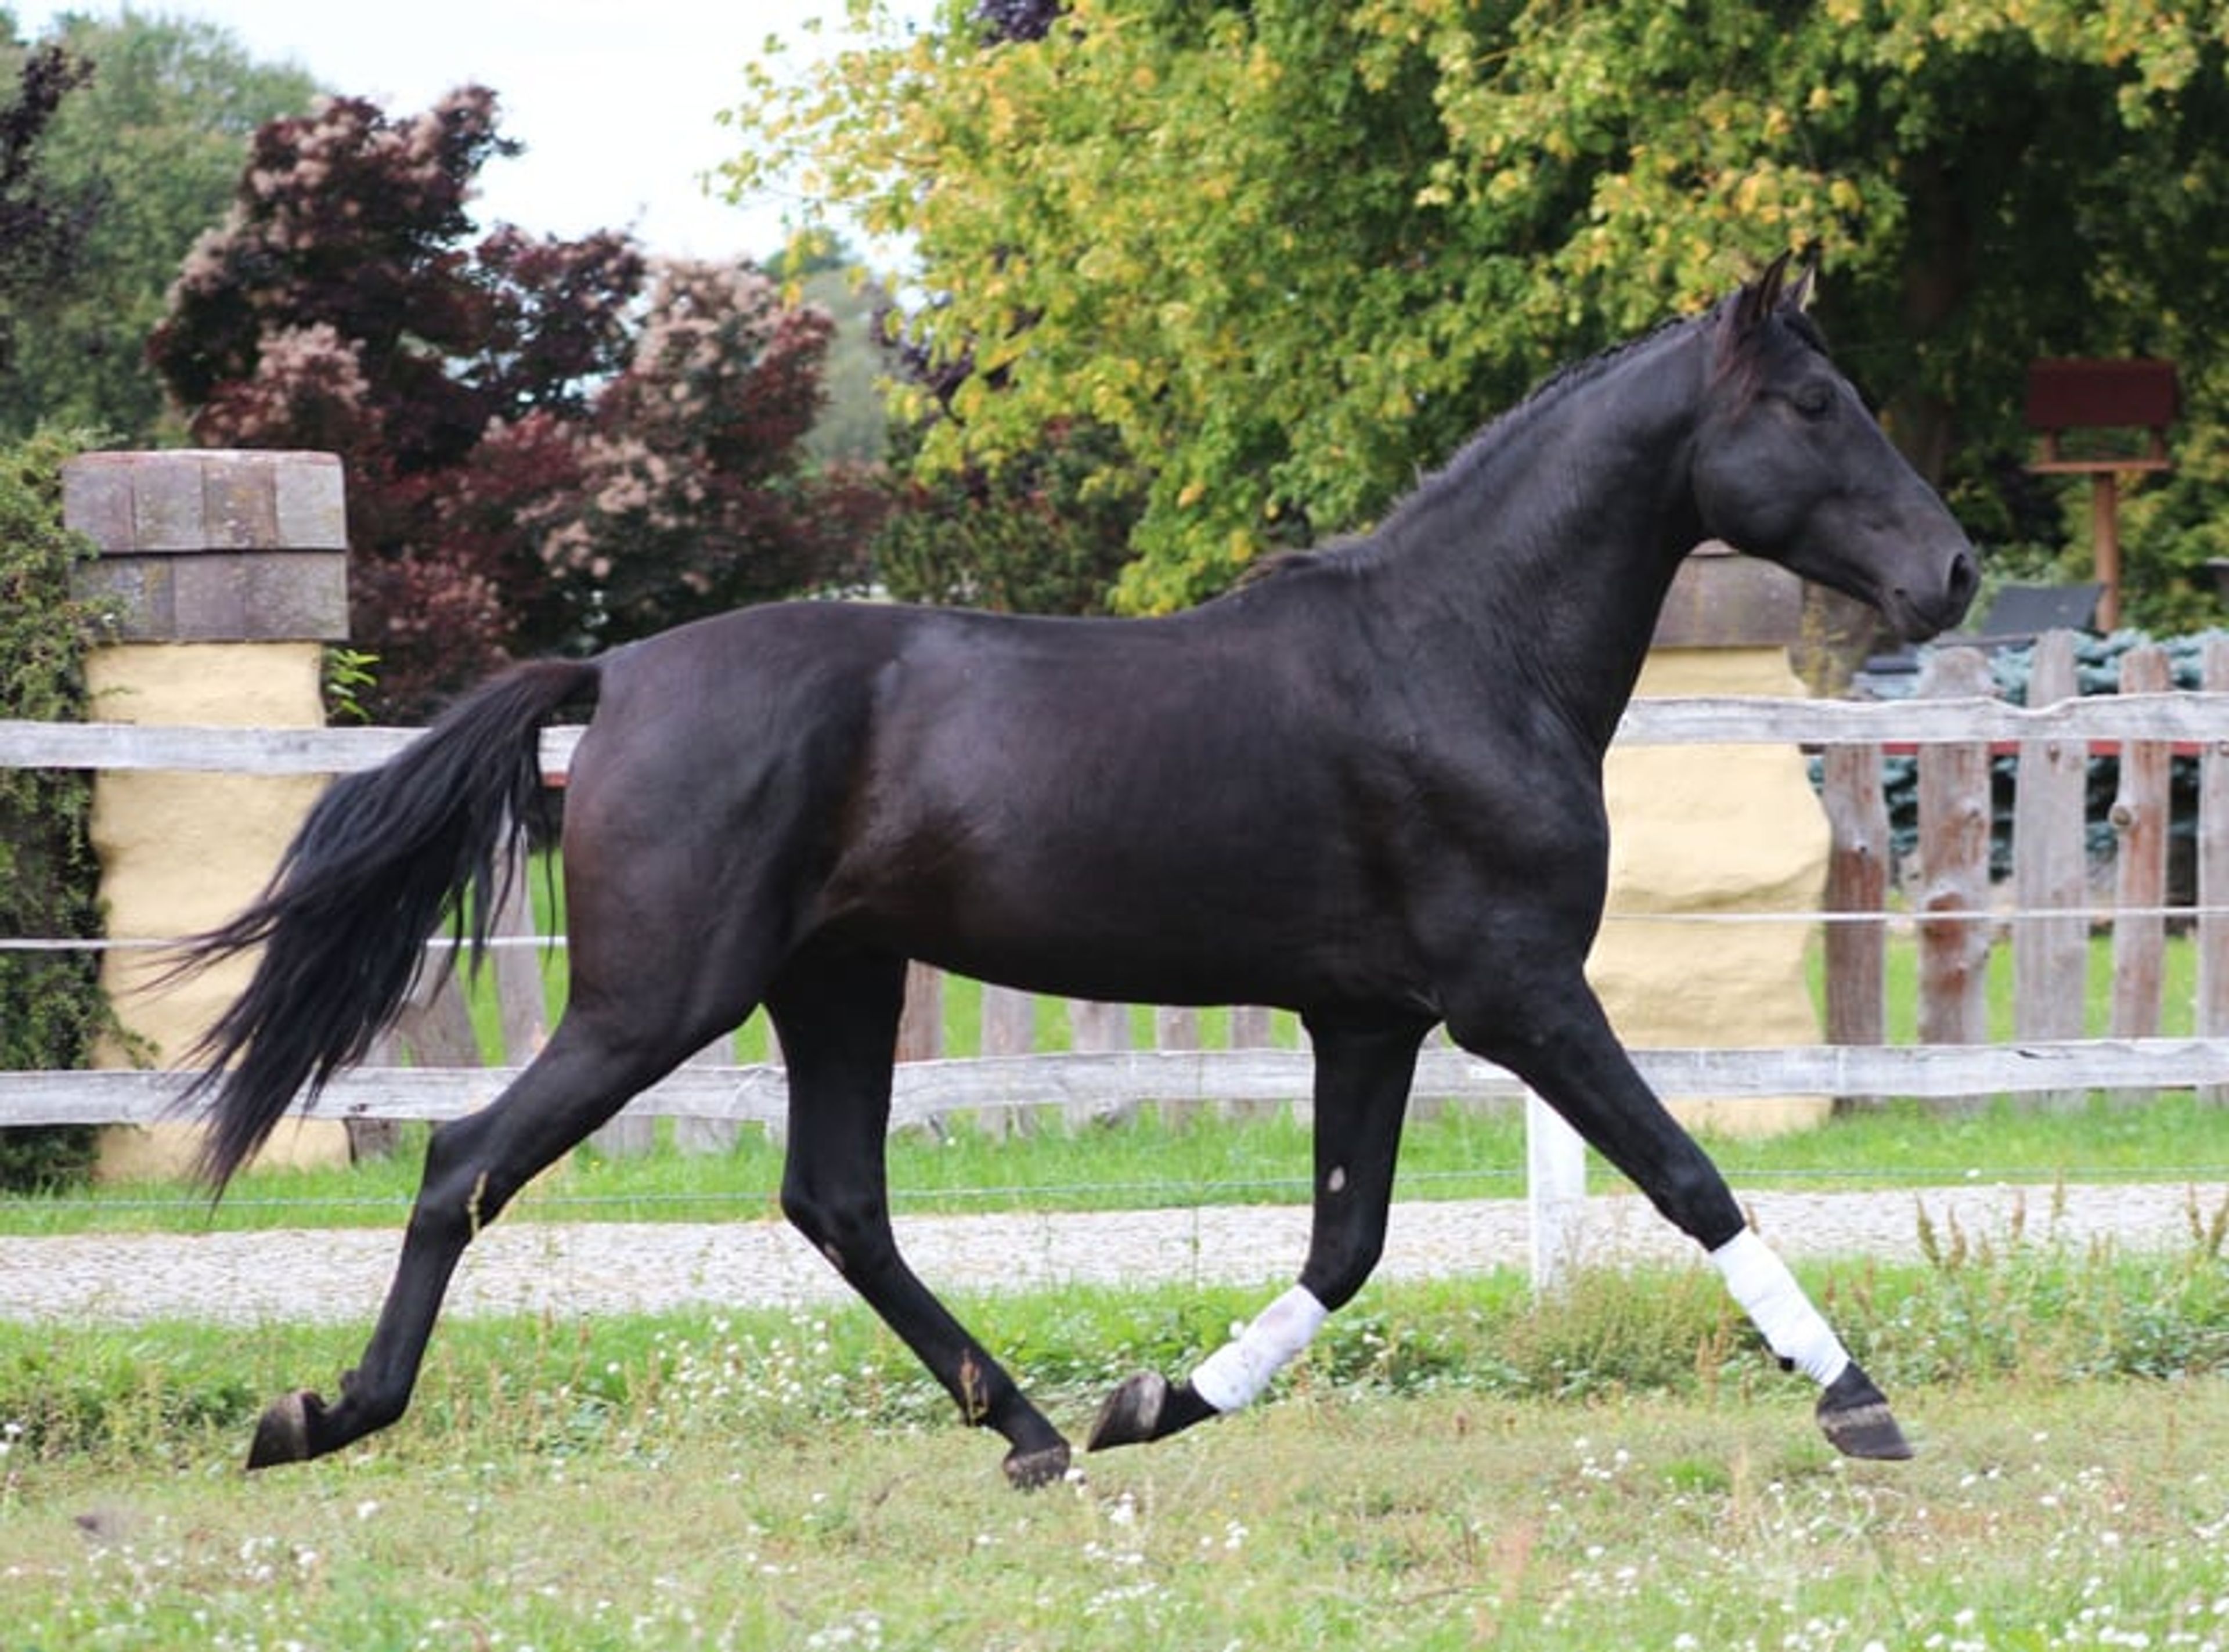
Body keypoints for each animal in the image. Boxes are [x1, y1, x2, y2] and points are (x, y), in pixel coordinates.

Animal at [178, 256, 1977, 1488]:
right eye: (1809, 406)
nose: (1953, 570)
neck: (1459, 653)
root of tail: (616, 677)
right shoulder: (1520, 996)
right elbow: (1688, 1176)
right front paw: (1858, 1397)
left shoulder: (1371, 1019)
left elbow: (1347, 1241)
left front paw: (1154, 1401)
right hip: (656, 999)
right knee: (467, 1160)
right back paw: (322, 1413)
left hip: (836, 980)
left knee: (837, 1201)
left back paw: (1035, 1428)